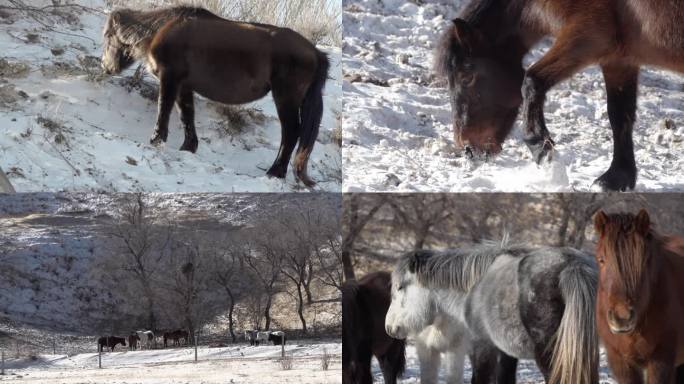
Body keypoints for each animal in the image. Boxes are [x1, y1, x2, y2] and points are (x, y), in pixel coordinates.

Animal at [99, 6, 332, 186]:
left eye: (107, 35)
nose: (105, 66)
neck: (161, 29)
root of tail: (315, 52)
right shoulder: (184, 86)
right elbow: (186, 116)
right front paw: (188, 147)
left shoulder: (170, 78)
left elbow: (163, 109)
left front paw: (156, 140)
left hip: (286, 98)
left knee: (291, 132)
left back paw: (275, 172)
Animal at [436, 0, 684, 191]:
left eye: (466, 76)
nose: (467, 148)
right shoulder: (619, 60)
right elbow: (619, 116)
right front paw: (616, 178)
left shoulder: (590, 37)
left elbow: (531, 81)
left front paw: (540, 148)